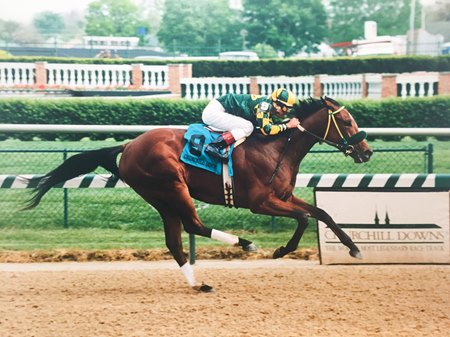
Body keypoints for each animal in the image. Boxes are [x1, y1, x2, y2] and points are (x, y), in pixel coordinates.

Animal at [27, 96, 372, 290]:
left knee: (175, 240)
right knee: (193, 225)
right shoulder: (261, 202)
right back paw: (245, 244)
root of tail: (129, 144)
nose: (366, 151)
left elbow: (321, 213)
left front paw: (355, 249)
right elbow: (302, 218)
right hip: (171, 185)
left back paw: (198, 284)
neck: (276, 148)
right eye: (345, 120)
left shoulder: (283, 197)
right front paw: (281, 250)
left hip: (160, 197)